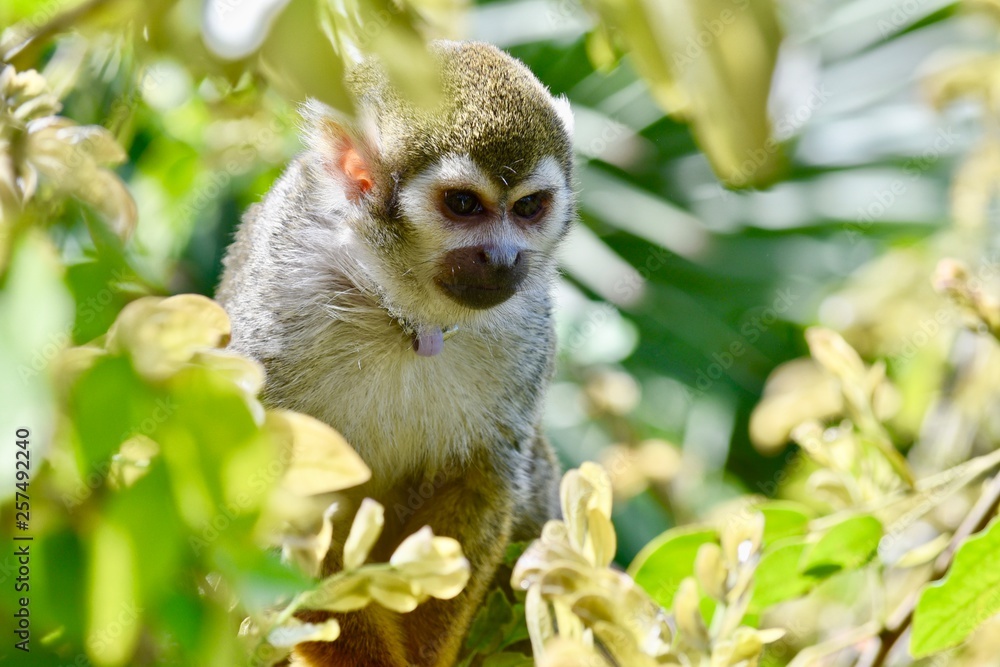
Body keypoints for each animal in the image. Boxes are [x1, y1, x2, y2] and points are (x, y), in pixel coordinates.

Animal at [216, 40, 575, 667]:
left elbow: (483, 478)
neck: (400, 314)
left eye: (530, 206)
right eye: (463, 204)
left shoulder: (528, 328)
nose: (504, 259)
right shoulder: (283, 302)